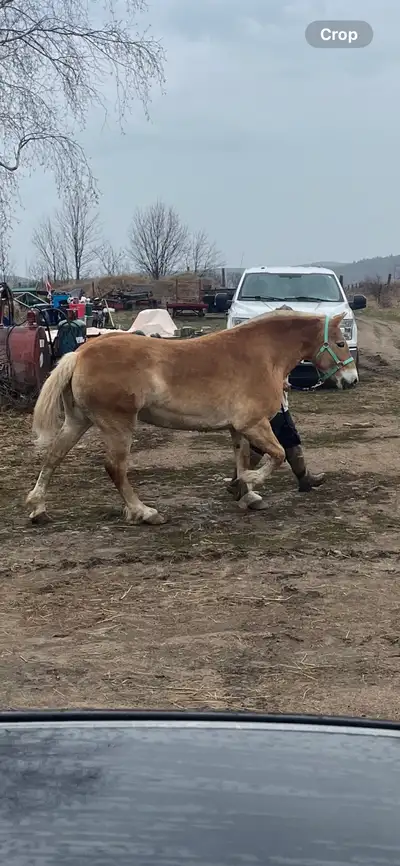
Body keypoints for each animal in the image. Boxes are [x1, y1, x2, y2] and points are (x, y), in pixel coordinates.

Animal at [26, 311, 358, 525]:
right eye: (340, 343)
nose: (352, 380)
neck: (263, 355)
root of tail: (79, 355)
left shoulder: (238, 428)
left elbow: (242, 457)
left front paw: (247, 494)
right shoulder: (254, 424)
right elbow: (276, 455)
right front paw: (251, 482)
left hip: (78, 421)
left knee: (53, 456)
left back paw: (38, 509)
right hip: (118, 426)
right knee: (115, 468)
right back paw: (144, 512)